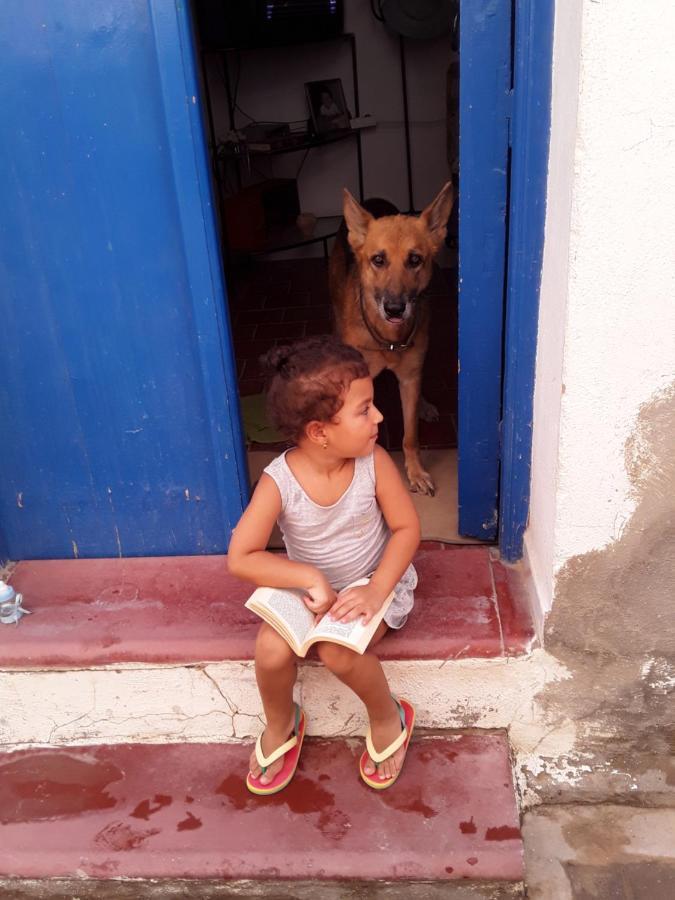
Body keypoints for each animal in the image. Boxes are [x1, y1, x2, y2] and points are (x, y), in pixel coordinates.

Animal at [332, 181, 456, 492]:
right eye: (378, 260)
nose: (395, 308)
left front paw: (415, 471)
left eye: (415, 260)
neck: (388, 340)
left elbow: (411, 435)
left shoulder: (410, 377)